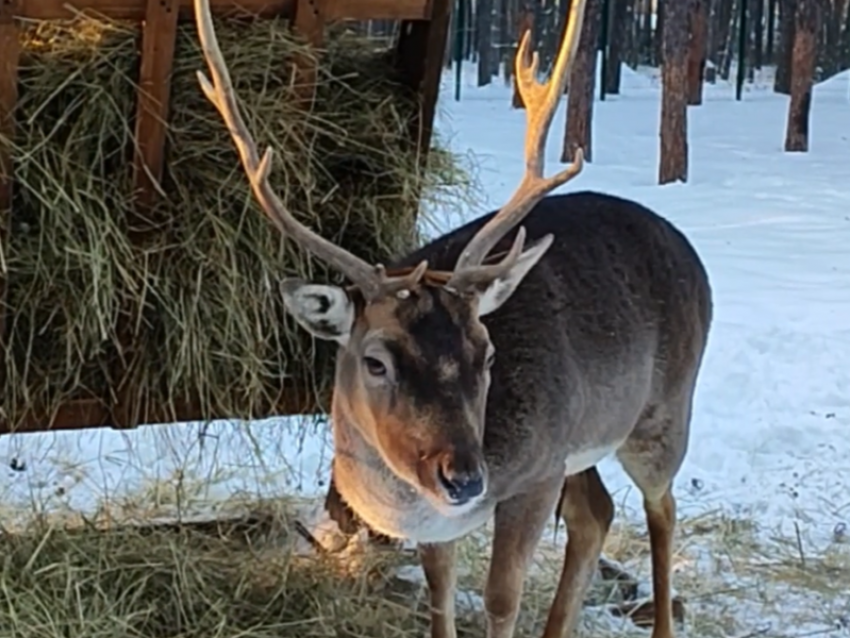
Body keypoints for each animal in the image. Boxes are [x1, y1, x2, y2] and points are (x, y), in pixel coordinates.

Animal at [192, 1, 708, 638]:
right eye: (375, 361)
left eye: (487, 354)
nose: (464, 477)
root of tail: (689, 250)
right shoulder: (445, 518)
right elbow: (439, 593)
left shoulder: (537, 473)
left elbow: (500, 599)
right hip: (583, 440)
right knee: (598, 512)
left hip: (663, 412)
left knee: (663, 508)